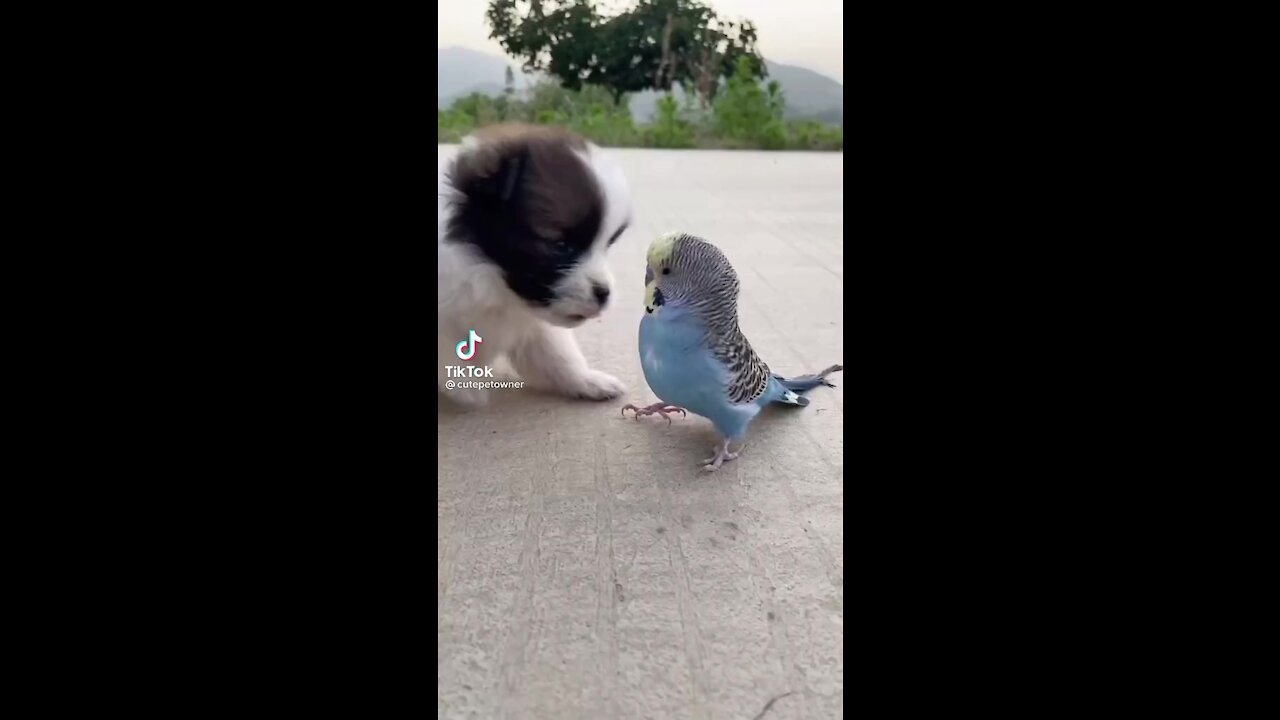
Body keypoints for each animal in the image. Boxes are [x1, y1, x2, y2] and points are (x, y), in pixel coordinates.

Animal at [437, 122, 632, 404]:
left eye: (607, 244)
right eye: (561, 246)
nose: (604, 293)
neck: (488, 279)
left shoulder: (536, 323)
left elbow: (558, 354)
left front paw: (587, 380)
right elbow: (445, 347)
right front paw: (467, 384)